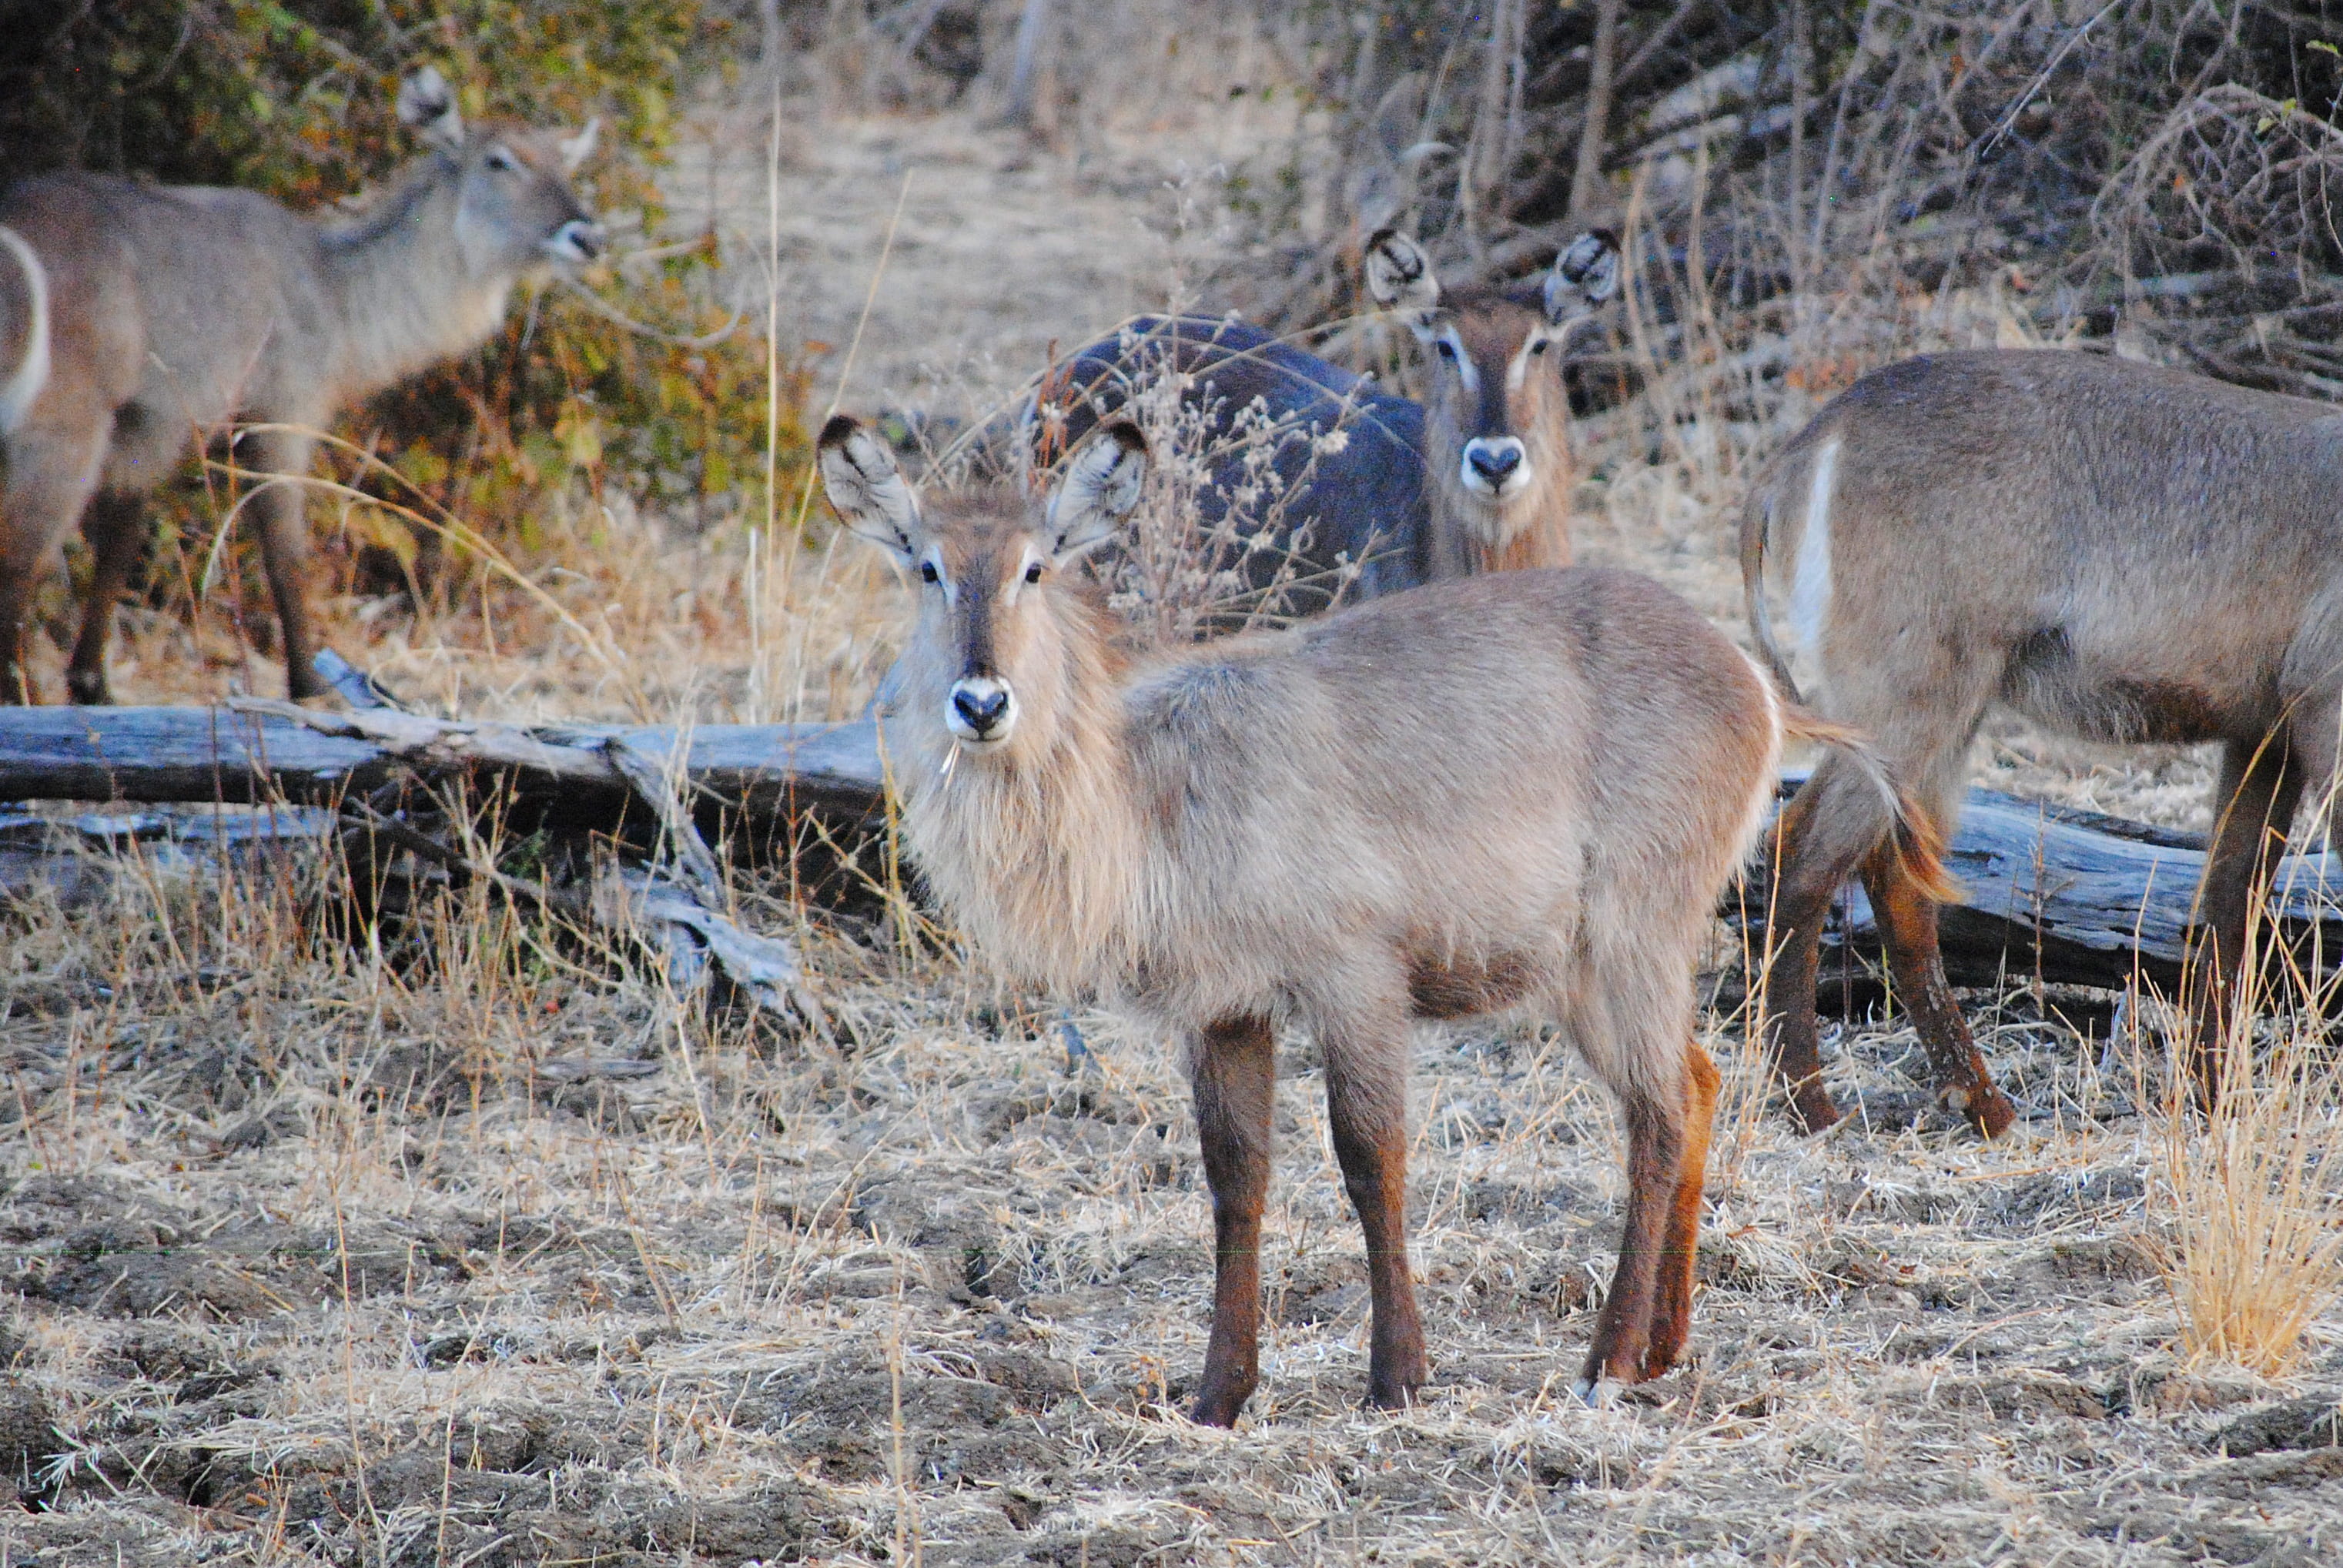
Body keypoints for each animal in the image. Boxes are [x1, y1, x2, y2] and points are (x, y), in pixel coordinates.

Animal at [0, 66, 603, 706]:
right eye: (499, 161)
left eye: (564, 164)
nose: (589, 237)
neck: (333, 288)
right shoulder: (279, 408)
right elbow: (284, 547)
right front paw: (310, 684)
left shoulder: (148, 425)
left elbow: (119, 542)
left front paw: (93, 684)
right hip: (63, 424)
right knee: (17, 557)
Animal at [818, 411, 1949, 1422]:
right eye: (924, 568)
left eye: (1036, 569)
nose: (980, 702)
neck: (1148, 799)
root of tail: (1753, 682)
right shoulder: (1223, 1011)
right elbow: (1235, 1181)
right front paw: (1217, 1396)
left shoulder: (1354, 980)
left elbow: (1371, 1161)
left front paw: (1396, 1378)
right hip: (1593, 968)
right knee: (1699, 1082)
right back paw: (1663, 1347)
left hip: (1626, 935)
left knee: (1659, 1113)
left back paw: (1607, 1363)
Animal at [1738, 347, 2343, 1137]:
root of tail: (1815, 436)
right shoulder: (2324, 718)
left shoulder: (2262, 736)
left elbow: (2225, 908)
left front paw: (2213, 1103)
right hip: (1911, 706)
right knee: (1805, 856)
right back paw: (1815, 1104)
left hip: (1942, 721)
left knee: (1895, 883)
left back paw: (1980, 1105)